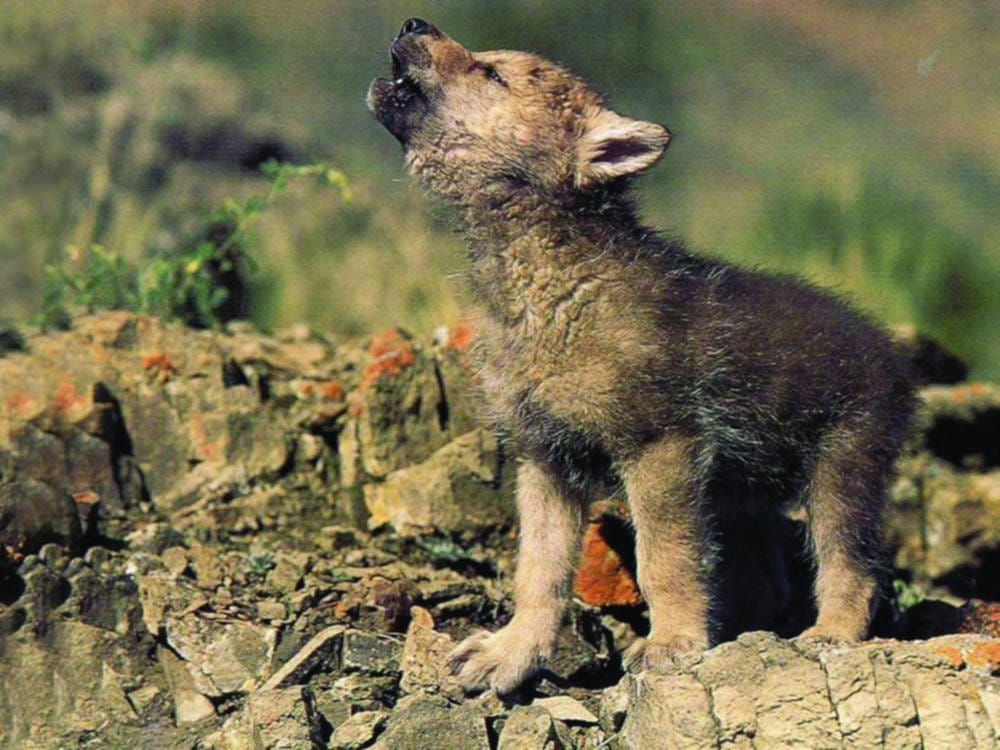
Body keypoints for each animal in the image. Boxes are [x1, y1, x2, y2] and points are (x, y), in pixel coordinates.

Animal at [367, 18, 916, 694]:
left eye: (491, 73)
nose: (412, 22)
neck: (549, 286)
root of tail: (891, 354)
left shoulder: (659, 446)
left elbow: (665, 559)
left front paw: (673, 642)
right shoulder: (544, 459)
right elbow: (539, 574)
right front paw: (511, 654)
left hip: (842, 472)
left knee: (854, 568)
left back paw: (829, 636)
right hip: (745, 492)